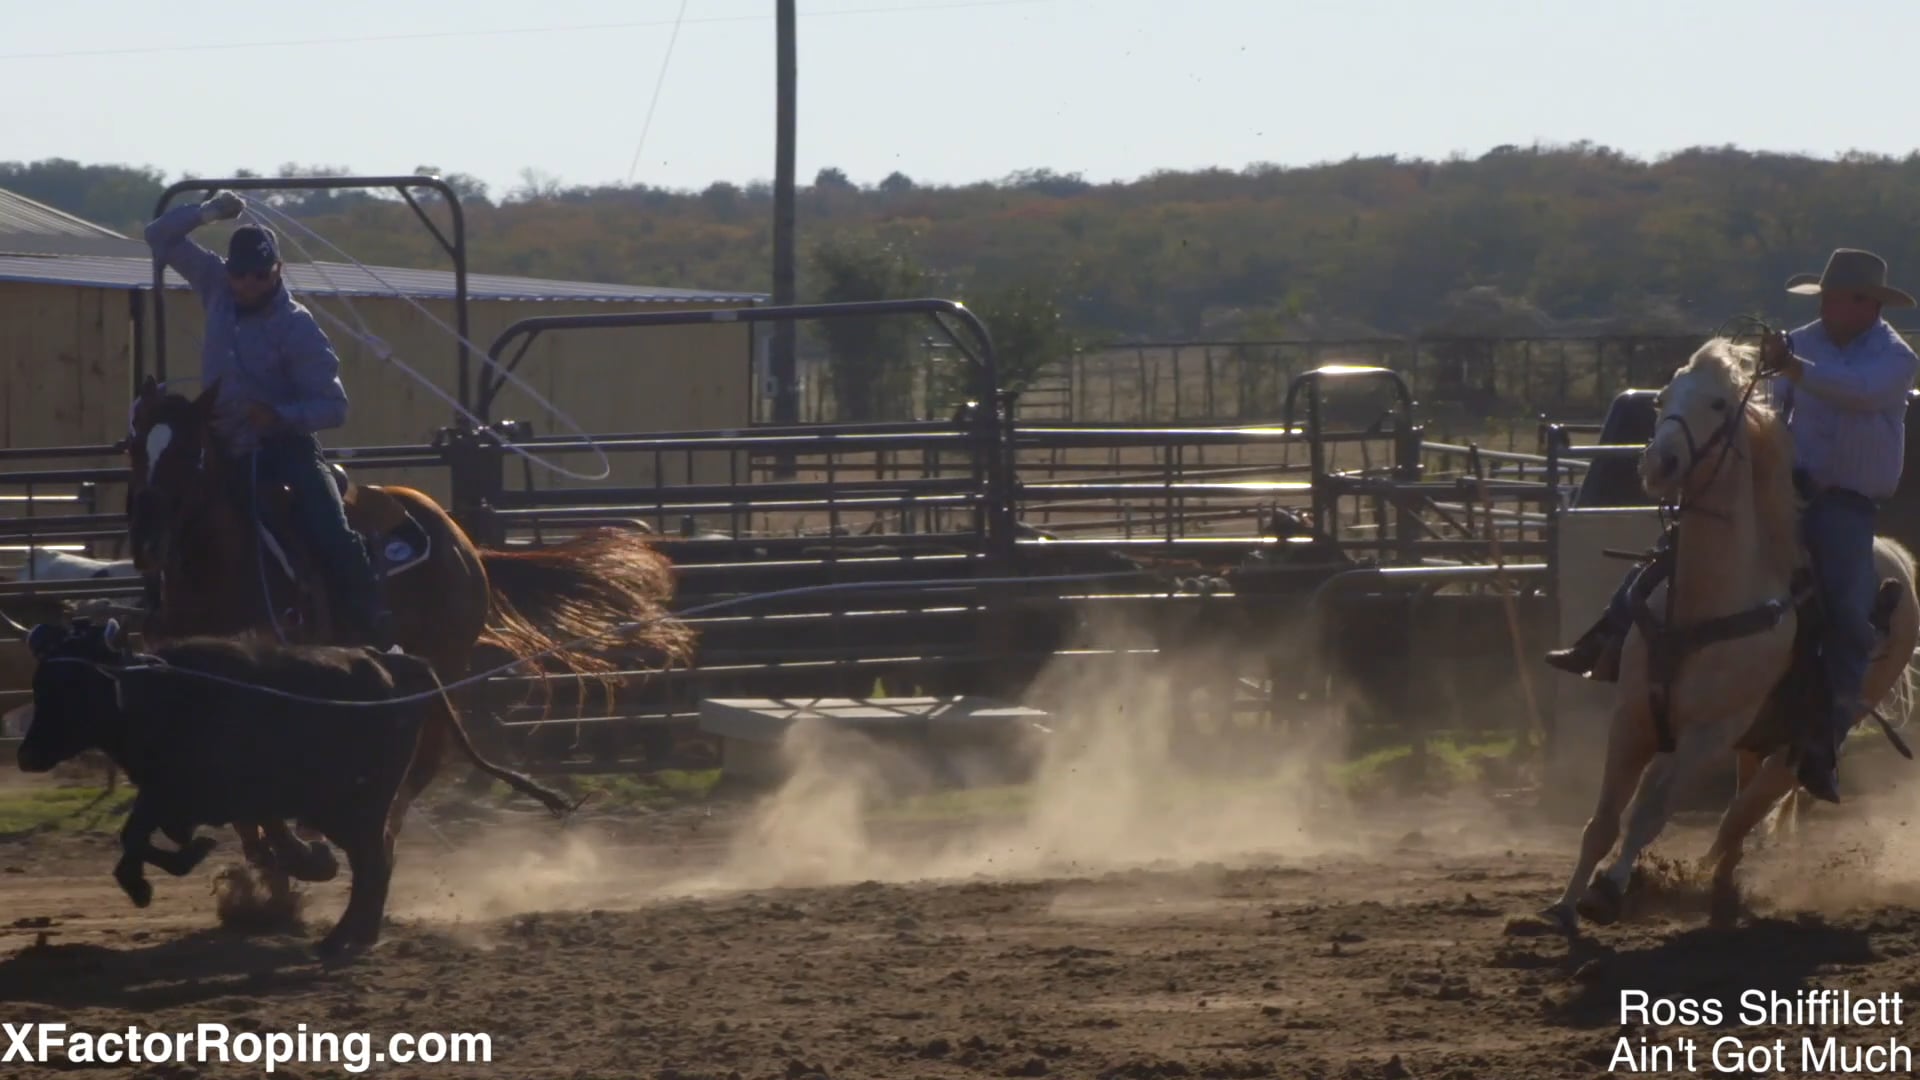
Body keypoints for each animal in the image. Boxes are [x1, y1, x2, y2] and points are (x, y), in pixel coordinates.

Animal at [120, 378, 695, 891]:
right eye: (133, 447)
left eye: (192, 451)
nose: (146, 541)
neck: (223, 570)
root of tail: (460, 536)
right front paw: (272, 863)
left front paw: (299, 857)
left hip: (443, 664)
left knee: (422, 766)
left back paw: (371, 841)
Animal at [1543, 336, 1920, 926]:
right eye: (1662, 399)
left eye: (1720, 404)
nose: (1660, 461)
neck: (1706, 601)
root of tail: (1895, 557)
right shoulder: (1631, 719)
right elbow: (1602, 820)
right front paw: (1564, 905)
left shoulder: (1709, 732)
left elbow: (1651, 809)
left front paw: (1610, 889)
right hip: (1755, 734)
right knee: (1744, 799)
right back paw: (1719, 881)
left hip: (1812, 732)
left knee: (1752, 803)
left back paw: (1709, 876)